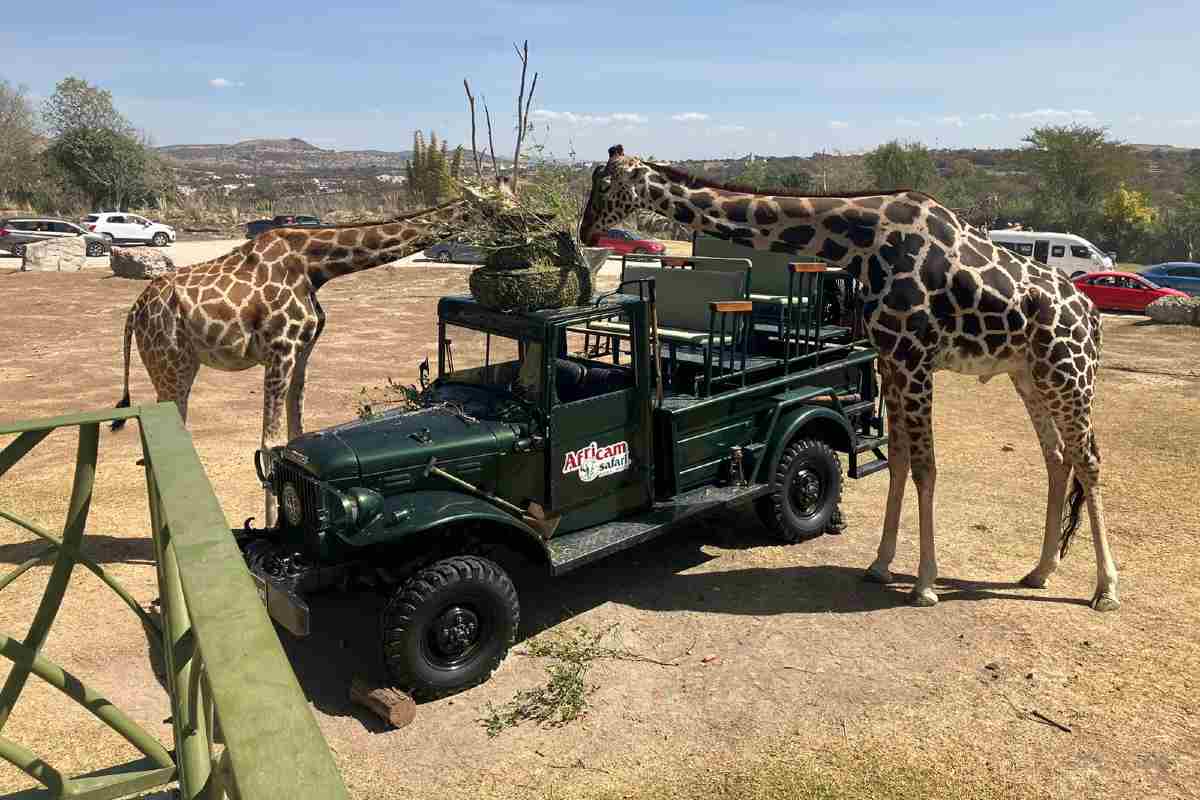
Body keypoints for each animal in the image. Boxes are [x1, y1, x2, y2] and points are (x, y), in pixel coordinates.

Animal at [111, 198, 470, 526]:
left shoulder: (302, 350)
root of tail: (134, 311)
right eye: (480, 209)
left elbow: (294, 433)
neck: (315, 266)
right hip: (171, 365)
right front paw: (272, 525)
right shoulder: (280, 347)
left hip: (177, 367)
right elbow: (270, 443)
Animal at [580, 145, 1118, 612]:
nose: (585, 231)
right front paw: (881, 565)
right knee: (1057, 457)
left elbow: (926, 468)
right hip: (1029, 375)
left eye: (604, 185)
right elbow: (898, 461)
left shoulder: (916, 359)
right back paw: (1040, 571)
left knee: (1089, 460)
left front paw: (924, 584)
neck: (863, 242)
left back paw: (1105, 589)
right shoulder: (893, 360)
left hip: (1071, 373)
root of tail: (1091, 312)